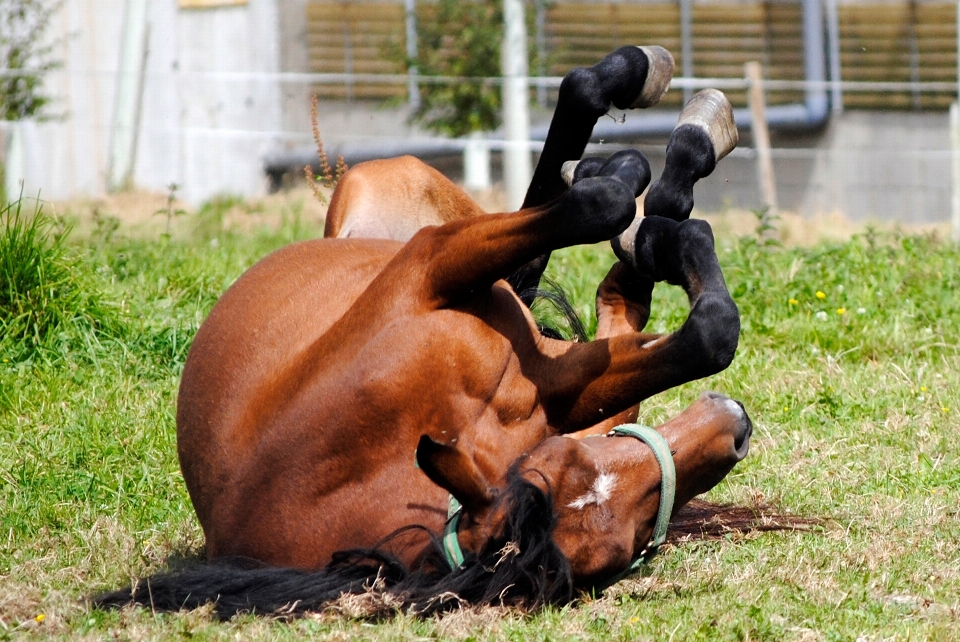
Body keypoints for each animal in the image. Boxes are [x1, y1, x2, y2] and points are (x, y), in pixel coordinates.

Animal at [97, 46, 748, 616]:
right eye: (628, 545)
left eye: (567, 459)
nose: (734, 428)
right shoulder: (454, 290)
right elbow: (630, 235)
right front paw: (653, 213)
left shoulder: (451, 289)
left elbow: (700, 332)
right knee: (597, 252)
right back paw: (655, 181)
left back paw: (650, 126)